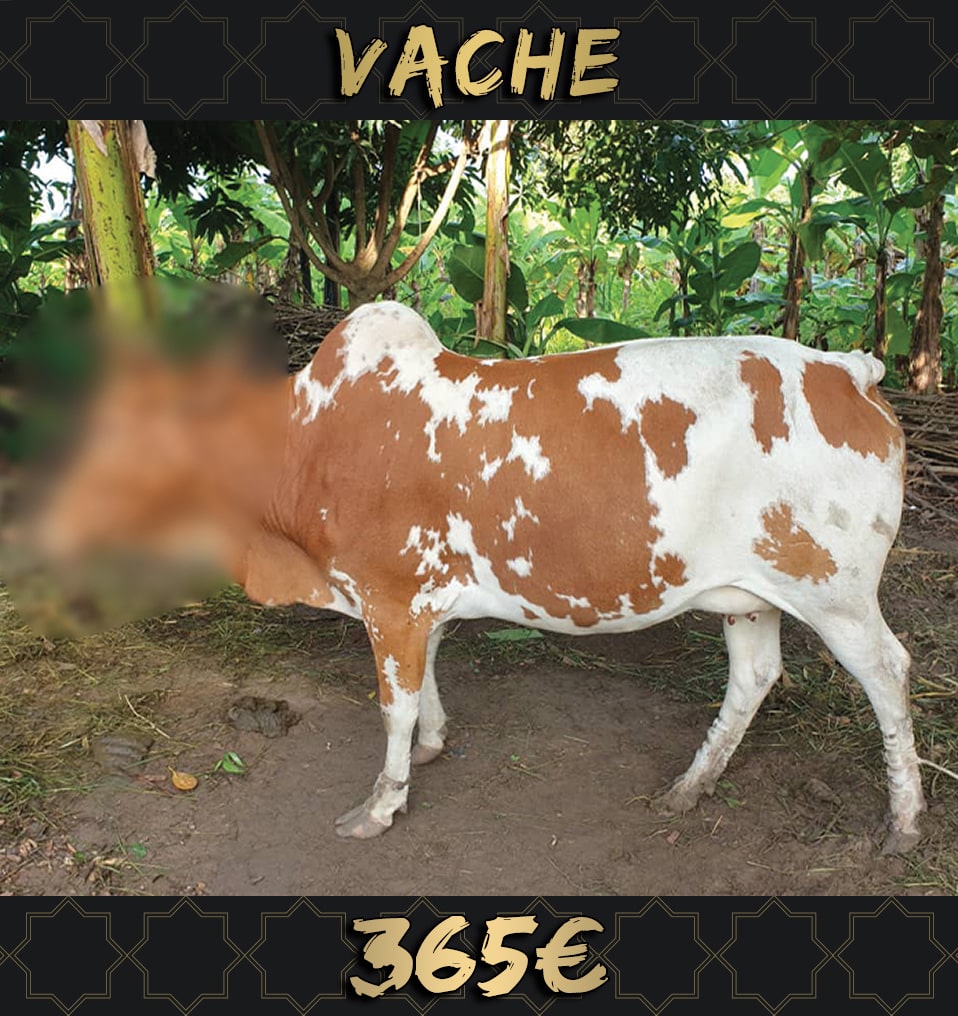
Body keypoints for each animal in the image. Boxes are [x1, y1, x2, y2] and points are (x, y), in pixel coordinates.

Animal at [26, 297, 925, 852]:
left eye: (124, 437)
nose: (51, 527)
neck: (304, 441)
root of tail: (850, 369)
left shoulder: (388, 595)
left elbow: (391, 703)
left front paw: (381, 804)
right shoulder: (415, 600)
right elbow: (425, 676)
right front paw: (430, 746)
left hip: (837, 592)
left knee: (888, 672)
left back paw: (905, 822)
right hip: (749, 593)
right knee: (756, 675)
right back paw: (689, 787)